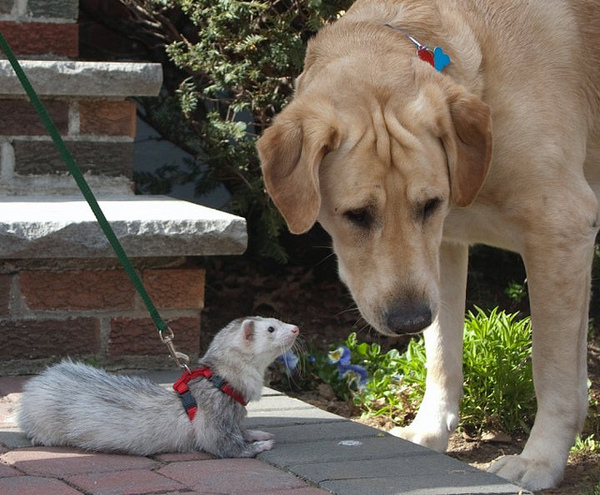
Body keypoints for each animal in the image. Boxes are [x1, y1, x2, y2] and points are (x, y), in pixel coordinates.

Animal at [256, 0, 600, 488]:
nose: (408, 321)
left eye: (429, 203)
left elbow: (552, 371)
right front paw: (428, 432)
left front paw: (540, 460)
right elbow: (441, 355)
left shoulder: (560, 228)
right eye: (356, 215)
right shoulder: (443, 247)